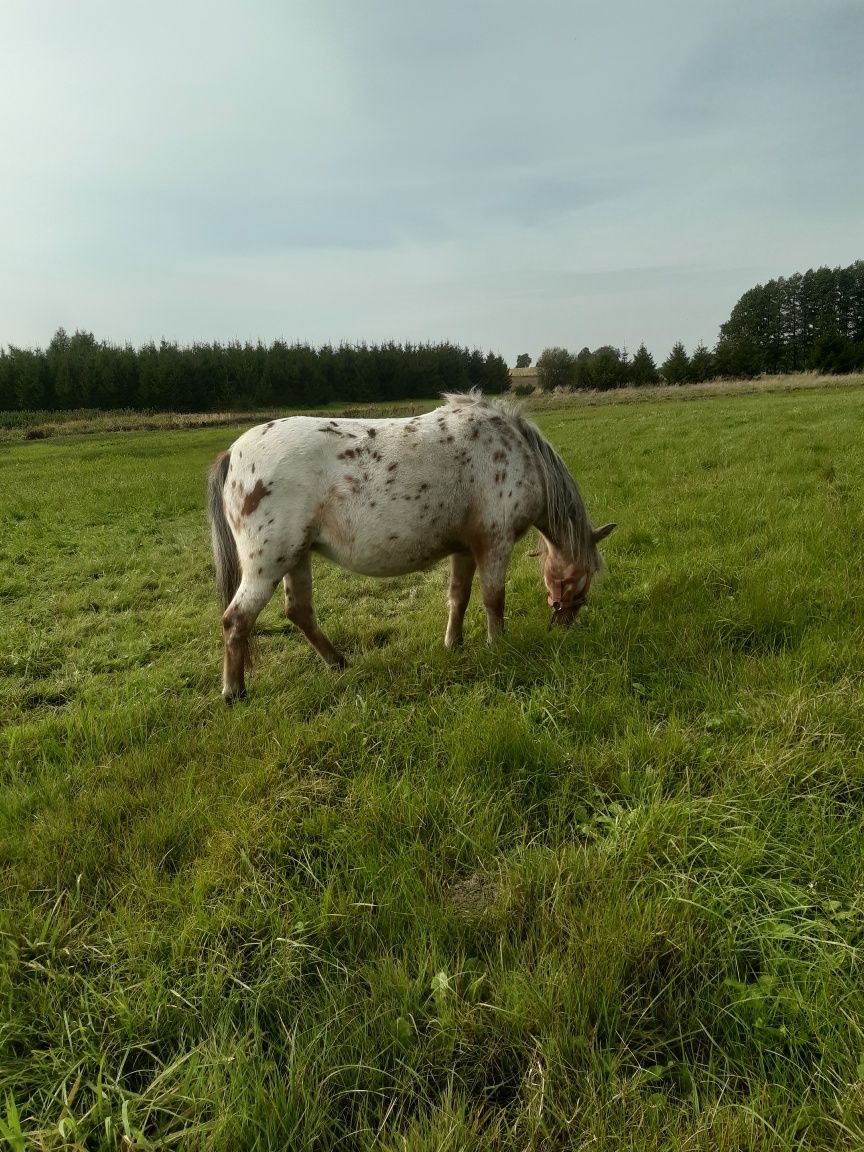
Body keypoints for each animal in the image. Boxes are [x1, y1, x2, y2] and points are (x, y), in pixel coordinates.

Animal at [208, 391, 617, 700]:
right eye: (581, 580)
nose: (565, 623)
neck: (516, 453)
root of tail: (232, 454)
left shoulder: (465, 549)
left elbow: (459, 597)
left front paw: (454, 643)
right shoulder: (494, 542)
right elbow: (493, 598)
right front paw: (498, 645)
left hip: (296, 557)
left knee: (299, 612)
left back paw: (338, 662)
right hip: (268, 564)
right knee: (236, 620)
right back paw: (234, 692)